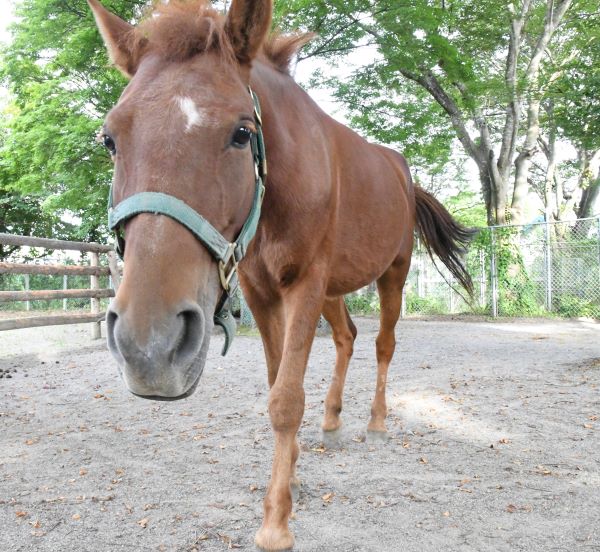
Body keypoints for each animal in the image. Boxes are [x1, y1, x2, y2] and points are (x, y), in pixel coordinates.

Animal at [88, 2, 474, 548]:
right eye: (110, 139)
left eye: (242, 132)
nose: (150, 347)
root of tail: (405, 176)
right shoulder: (262, 291)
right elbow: (277, 385)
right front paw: (290, 473)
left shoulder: (304, 284)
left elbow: (287, 399)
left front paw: (276, 522)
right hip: (335, 289)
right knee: (347, 337)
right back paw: (332, 422)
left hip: (392, 275)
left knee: (383, 345)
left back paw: (376, 424)